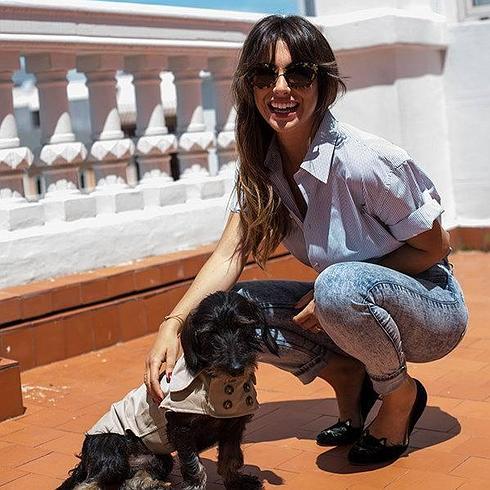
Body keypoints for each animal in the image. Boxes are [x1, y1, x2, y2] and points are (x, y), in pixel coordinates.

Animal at [58, 292, 276, 488]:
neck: (217, 383)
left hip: (160, 459)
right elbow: (194, 467)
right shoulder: (182, 429)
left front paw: (237, 482)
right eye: (211, 334)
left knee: (130, 479)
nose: (236, 368)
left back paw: (153, 484)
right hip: (112, 449)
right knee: (89, 483)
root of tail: (85, 459)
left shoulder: (233, 426)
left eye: (243, 327)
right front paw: (195, 486)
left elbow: (230, 459)